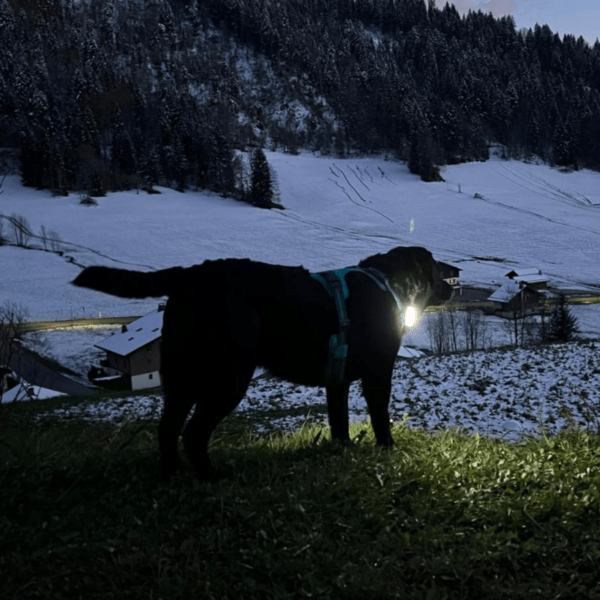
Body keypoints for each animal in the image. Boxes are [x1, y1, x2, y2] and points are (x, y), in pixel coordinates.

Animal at [72, 246, 450, 480]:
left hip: (182, 378)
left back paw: (173, 474)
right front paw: (387, 450)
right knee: (193, 433)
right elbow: (380, 417)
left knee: (167, 429)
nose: (451, 281)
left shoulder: (337, 381)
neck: (389, 283)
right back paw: (212, 476)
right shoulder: (378, 373)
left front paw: (341, 450)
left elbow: (339, 421)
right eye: (435, 266)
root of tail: (189, 276)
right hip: (228, 378)